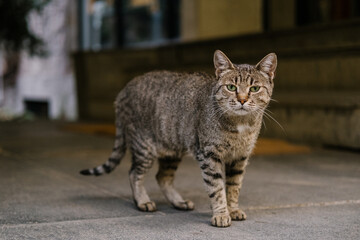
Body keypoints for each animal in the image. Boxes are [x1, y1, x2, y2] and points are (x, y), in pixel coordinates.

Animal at [80, 50, 278, 227]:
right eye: (231, 87)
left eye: (254, 88)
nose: (242, 100)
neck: (241, 125)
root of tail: (123, 90)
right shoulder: (209, 155)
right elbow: (216, 188)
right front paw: (221, 214)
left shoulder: (240, 158)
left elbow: (234, 186)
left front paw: (233, 209)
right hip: (144, 148)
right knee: (134, 173)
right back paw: (142, 201)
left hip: (171, 151)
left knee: (162, 177)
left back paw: (179, 202)